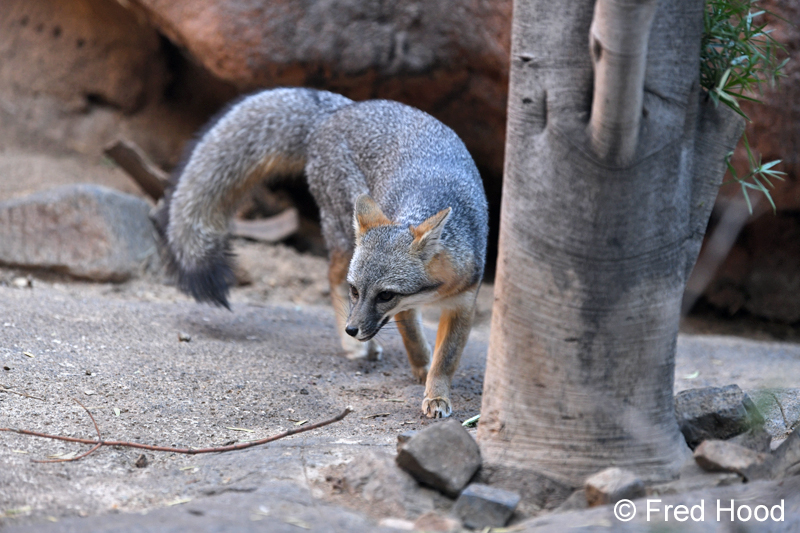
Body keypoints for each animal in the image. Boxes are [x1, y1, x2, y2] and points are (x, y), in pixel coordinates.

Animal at [155, 88, 488, 418]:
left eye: (385, 295)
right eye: (356, 291)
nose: (352, 329)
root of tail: (338, 111)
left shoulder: (462, 303)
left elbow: (446, 359)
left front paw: (436, 393)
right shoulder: (405, 306)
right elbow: (414, 339)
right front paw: (422, 368)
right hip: (342, 235)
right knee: (331, 277)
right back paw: (354, 348)